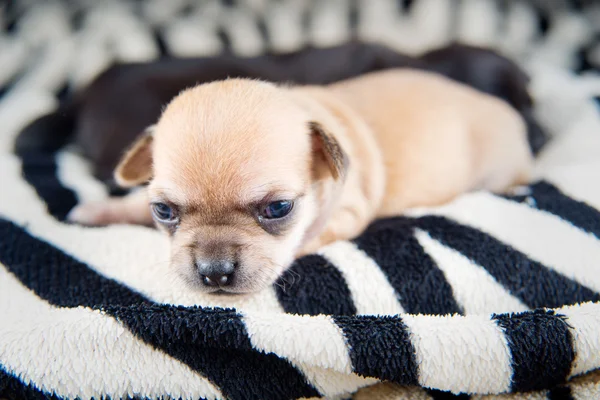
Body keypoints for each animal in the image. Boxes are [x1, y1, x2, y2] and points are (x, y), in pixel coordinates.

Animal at [68, 69, 532, 294]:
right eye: (164, 211)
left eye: (278, 209)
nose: (214, 273)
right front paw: (101, 209)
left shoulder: (346, 214)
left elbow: (304, 240)